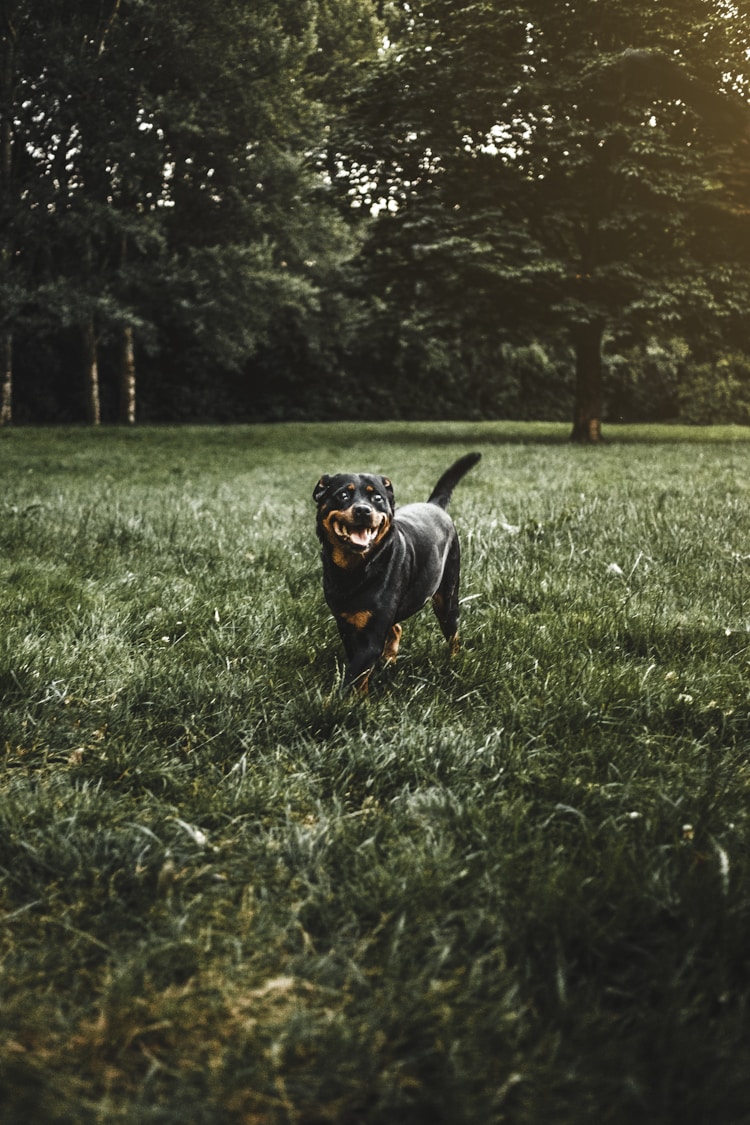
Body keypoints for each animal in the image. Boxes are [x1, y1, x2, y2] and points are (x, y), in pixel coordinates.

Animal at [312, 452, 481, 688]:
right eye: (343, 495)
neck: (356, 569)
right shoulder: (347, 625)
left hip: (447, 595)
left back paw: (455, 661)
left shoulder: (371, 637)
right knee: (397, 628)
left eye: (377, 498)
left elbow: (354, 679)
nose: (363, 510)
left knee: (453, 633)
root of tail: (435, 505)